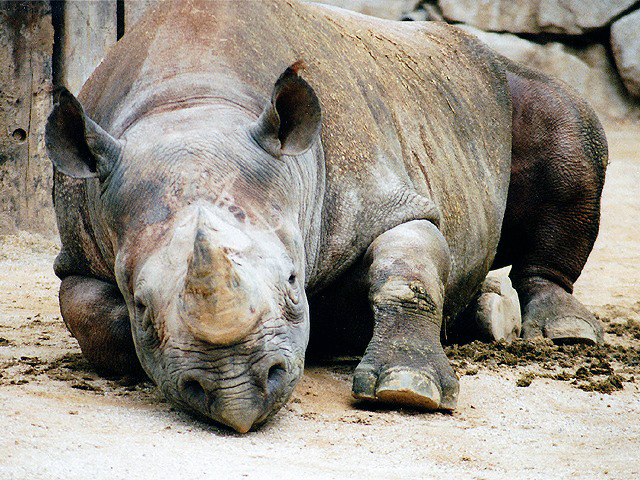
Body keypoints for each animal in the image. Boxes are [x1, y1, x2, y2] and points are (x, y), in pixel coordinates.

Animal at [45, 0, 604, 434]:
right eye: (140, 303)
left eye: (294, 280)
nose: (239, 396)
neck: (190, 102)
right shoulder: (79, 255)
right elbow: (94, 317)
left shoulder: (390, 200)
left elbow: (407, 274)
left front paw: (408, 387)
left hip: (504, 83)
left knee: (569, 129)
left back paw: (565, 332)